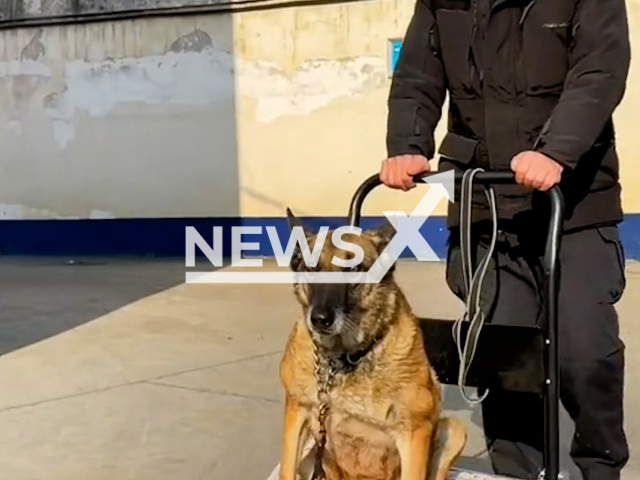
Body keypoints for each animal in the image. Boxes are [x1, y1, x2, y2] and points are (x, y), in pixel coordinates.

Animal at [278, 210, 468, 480]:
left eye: (354, 268)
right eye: (311, 268)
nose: (320, 319)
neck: (342, 358)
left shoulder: (414, 433)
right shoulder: (297, 412)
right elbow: (286, 469)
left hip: (453, 430)